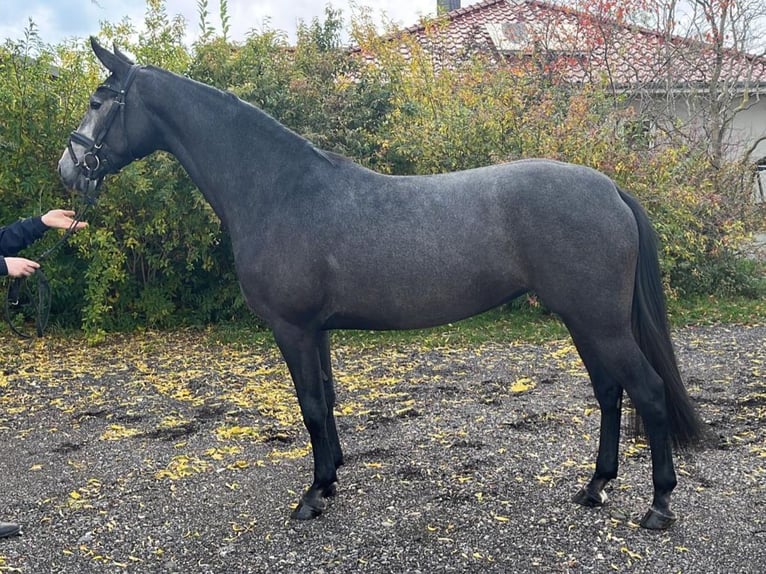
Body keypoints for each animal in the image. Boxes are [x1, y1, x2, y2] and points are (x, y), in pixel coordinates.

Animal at [58, 37, 708, 532]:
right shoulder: (316, 330)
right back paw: (595, 487)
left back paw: (658, 505)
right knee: (609, 393)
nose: (68, 171)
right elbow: (327, 401)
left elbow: (310, 406)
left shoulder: (292, 328)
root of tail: (611, 189)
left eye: (97, 101)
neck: (280, 189)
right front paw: (331, 480)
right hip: (583, 321)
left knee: (648, 392)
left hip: (599, 321)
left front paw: (312, 497)